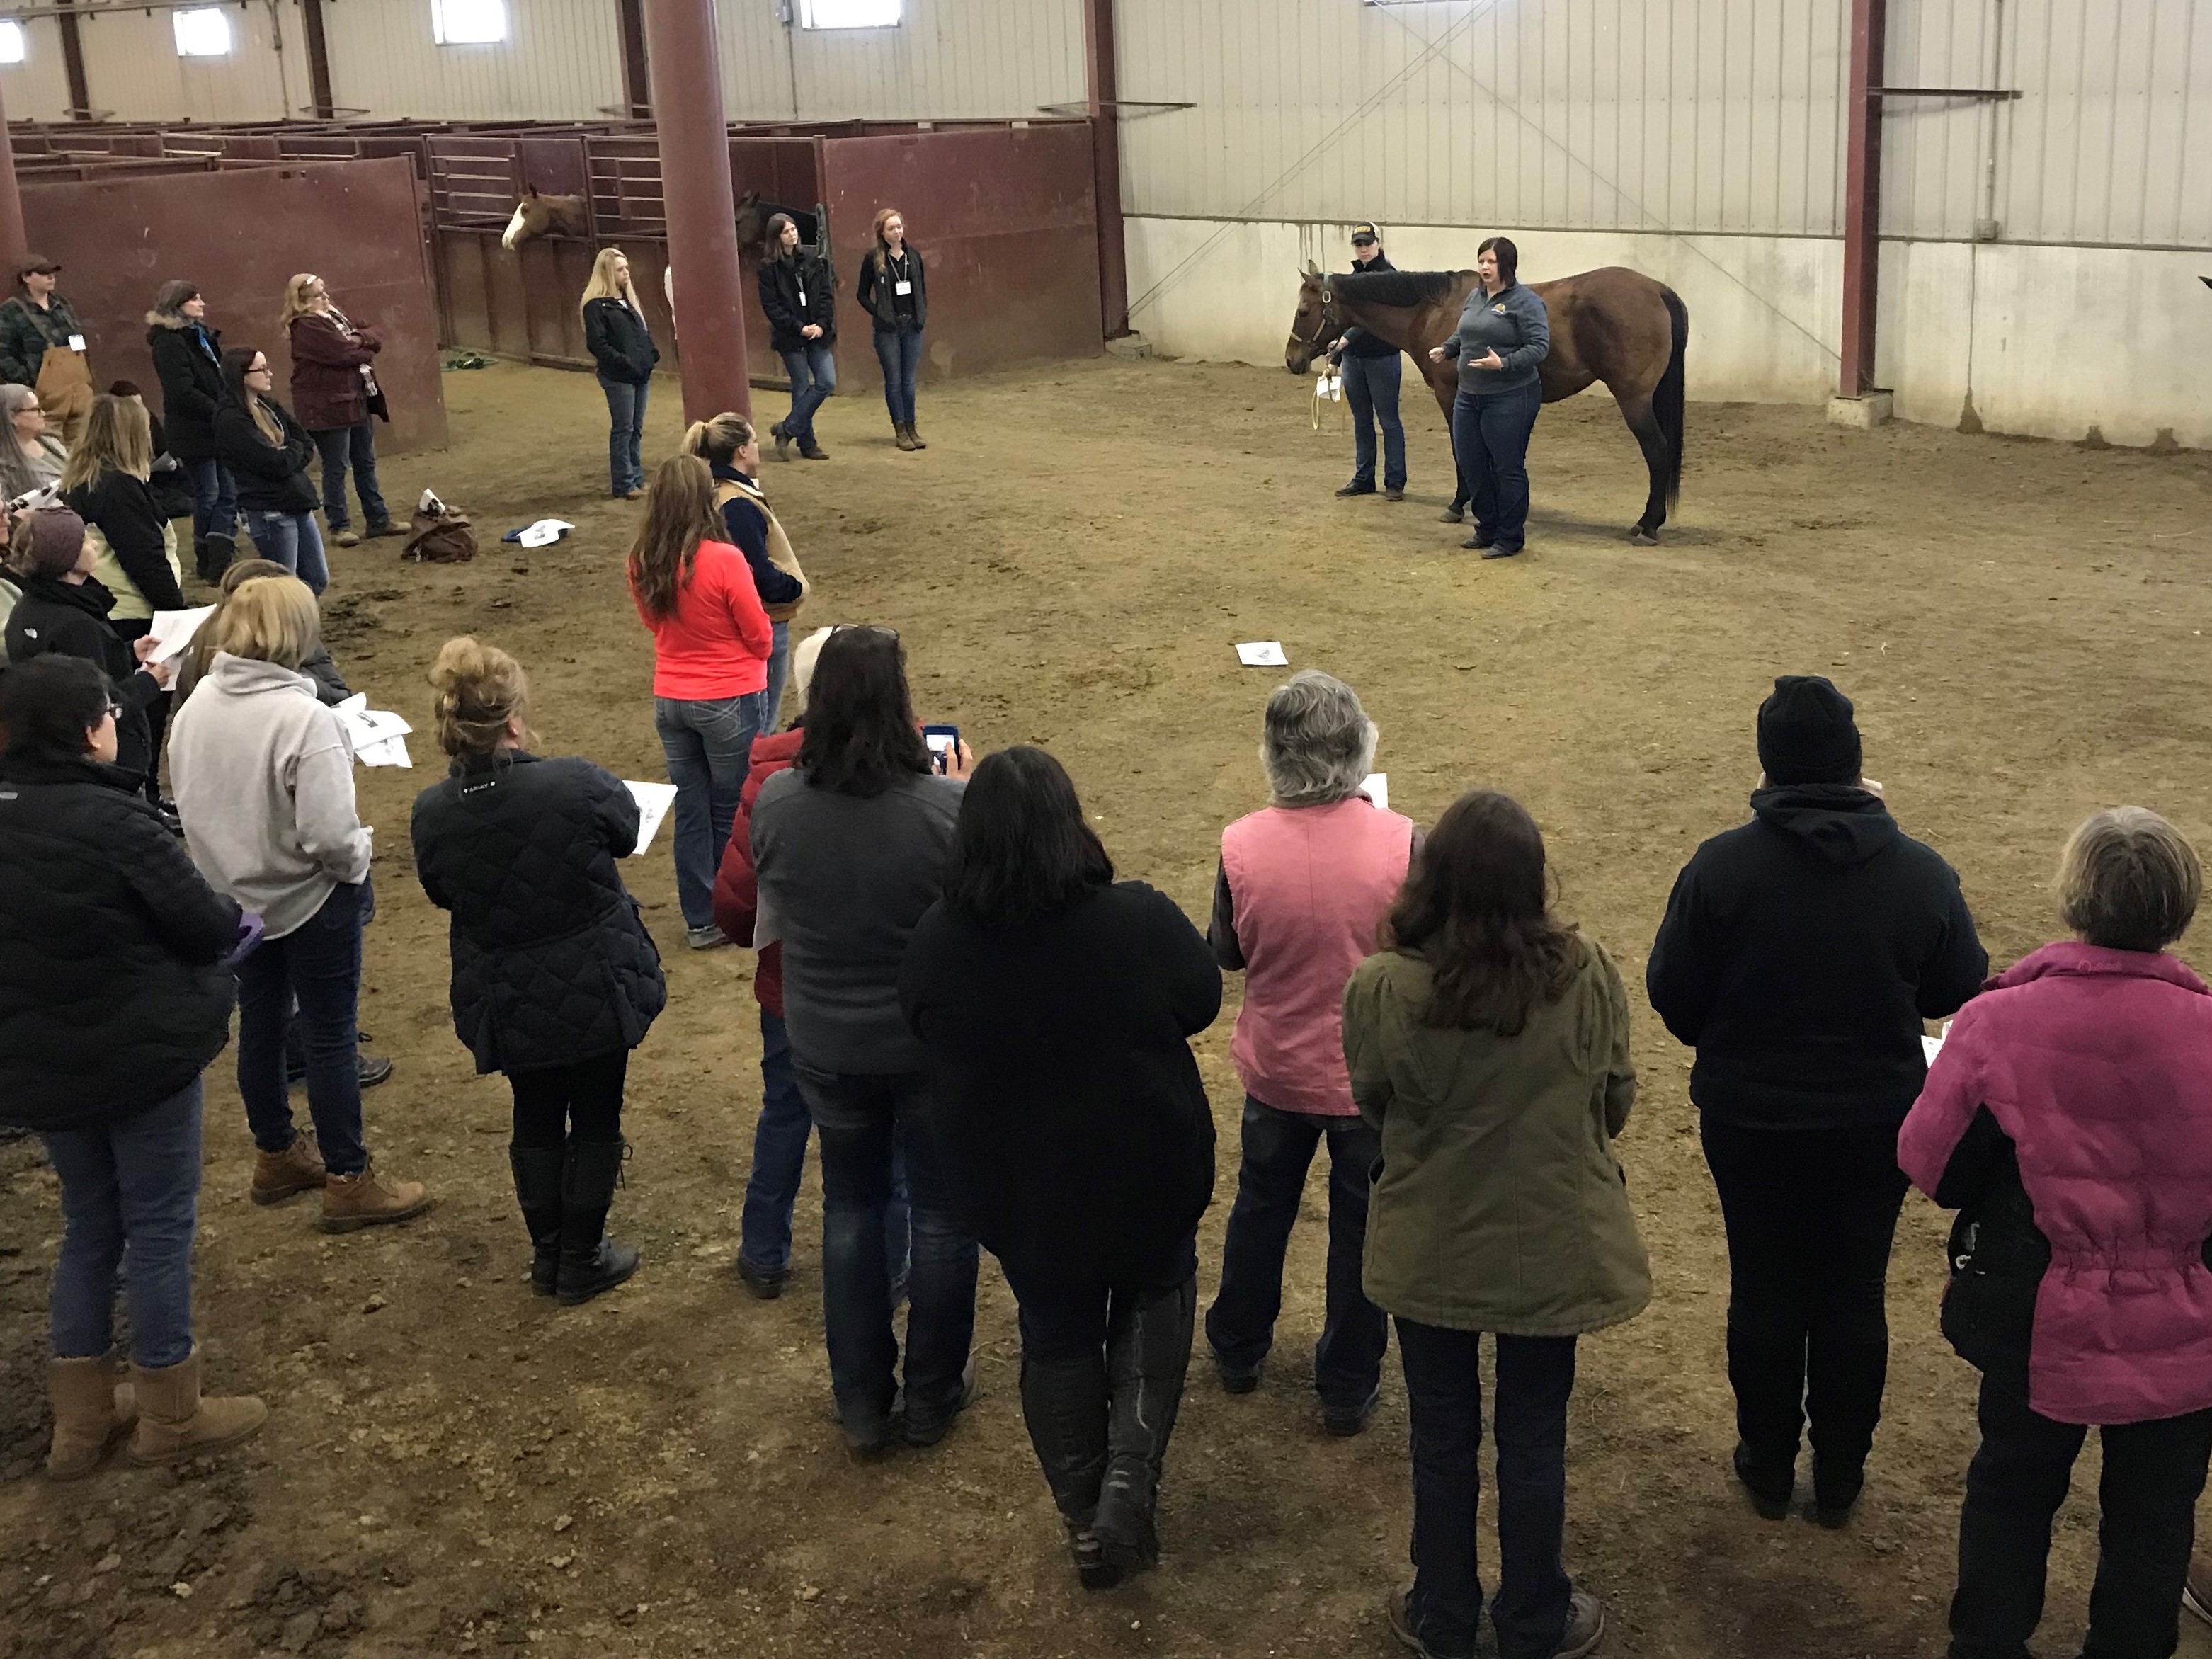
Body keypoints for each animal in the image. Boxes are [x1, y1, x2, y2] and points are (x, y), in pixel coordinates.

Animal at [1282, 261, 1689, 546]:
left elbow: (1461, 450)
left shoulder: (1450, 395)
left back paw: (1647, 525)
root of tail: (1657, 290)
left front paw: (1458, 505)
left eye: (1303, 311)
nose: (1291, 360)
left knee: (1657, 451)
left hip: (1634, 400)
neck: (1433, 311)